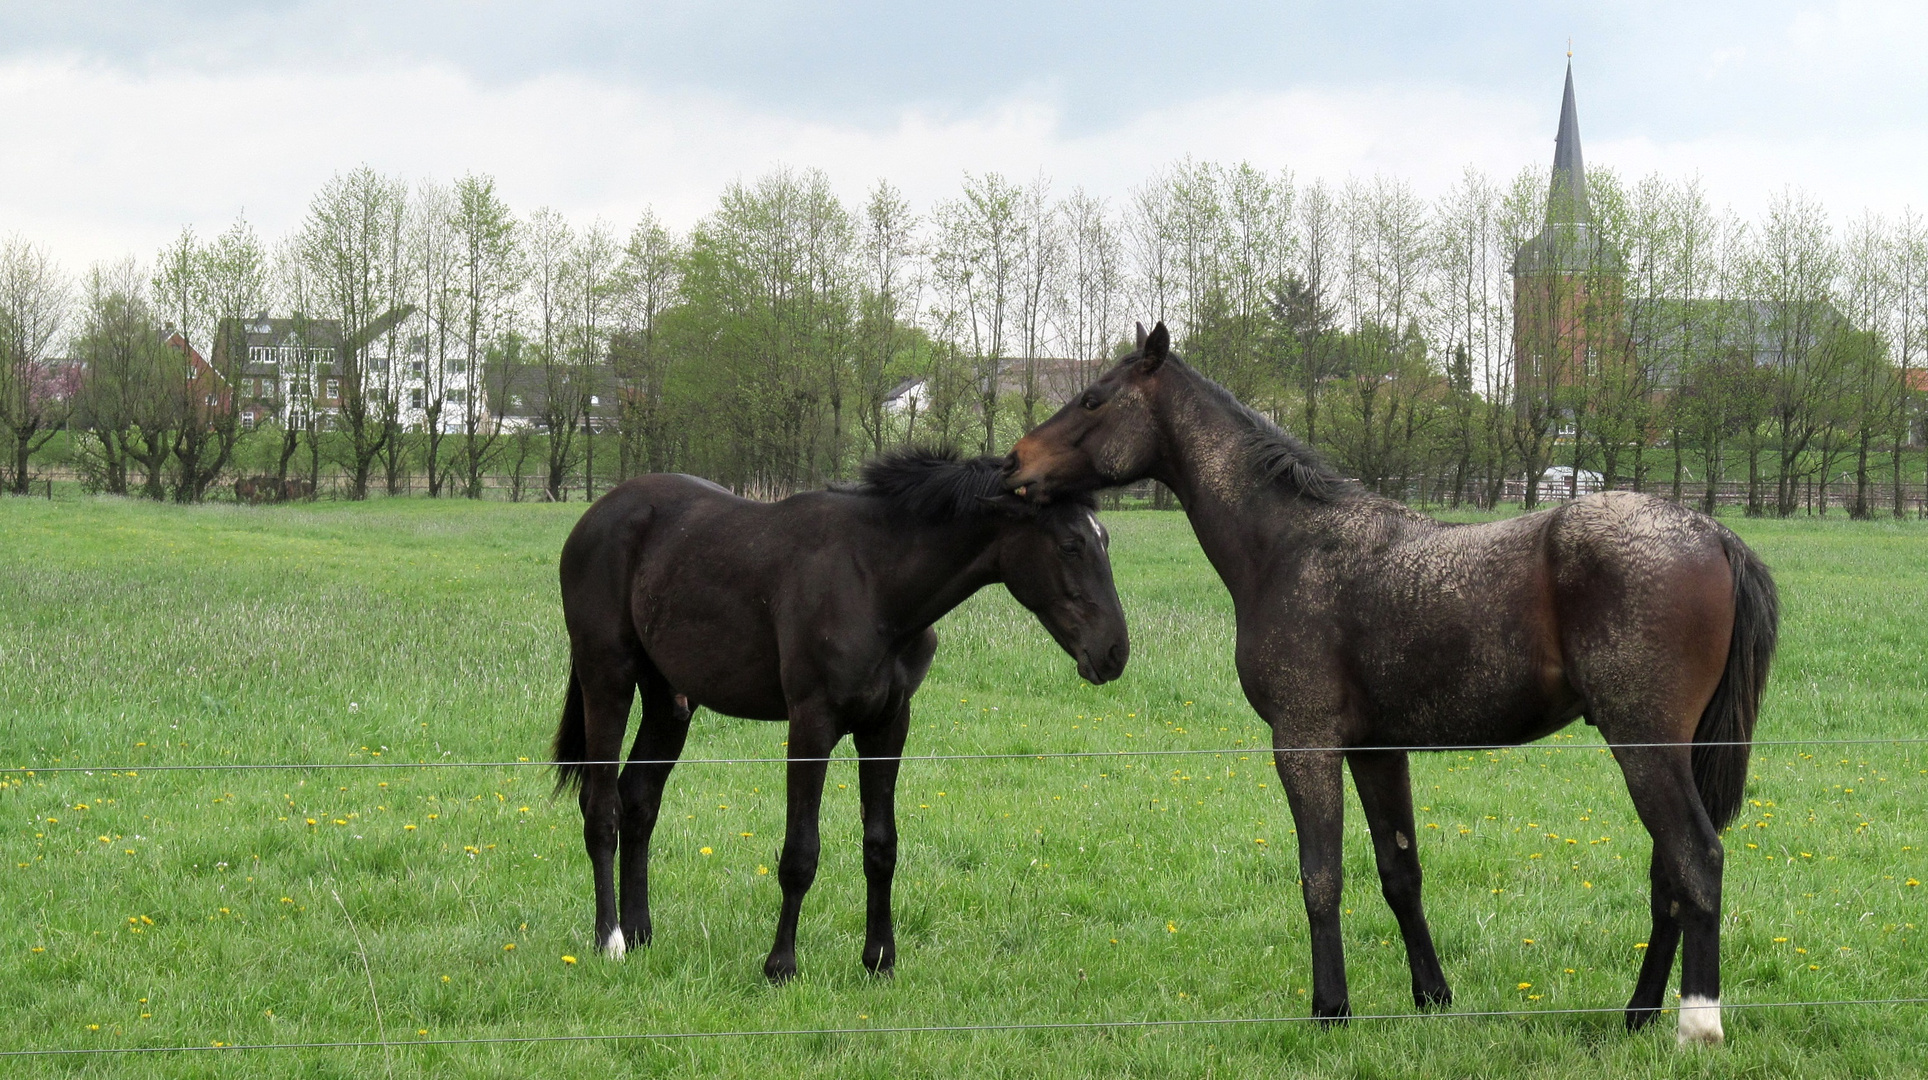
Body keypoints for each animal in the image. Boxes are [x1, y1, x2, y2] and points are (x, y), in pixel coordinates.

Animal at [555, 445, 1125, 979]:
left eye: (1105, 540)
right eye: (1070, 545)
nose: (1114, 651)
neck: (874, 582)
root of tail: (596, 515)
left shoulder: (887, 726)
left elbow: (881, 846)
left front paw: (879, 959)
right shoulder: (813, 725)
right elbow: (800, 853)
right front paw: (780, 965)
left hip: (670, 701)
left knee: (638, 801)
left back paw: (640, 933)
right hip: (607, 681)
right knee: (601, 807)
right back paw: (610, 940)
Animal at [1010, 322, 1773, 1049]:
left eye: (1092, 400)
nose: (1015, 465)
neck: (1292, 544)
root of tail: (1715, 534)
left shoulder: (1305, 743)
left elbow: (1321, 877)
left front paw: (1330, 1010)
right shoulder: (1378, 751)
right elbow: (1400, 872)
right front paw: (1432, 996)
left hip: (1644, 745)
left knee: (1696, 860)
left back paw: (1696, 1024)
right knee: (1670, 876)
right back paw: (1638, 1014)